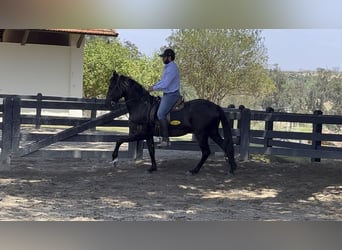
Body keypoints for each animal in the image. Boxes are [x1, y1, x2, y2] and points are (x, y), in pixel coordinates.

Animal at [105, 71, 236, 175]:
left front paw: (114, 159)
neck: (142, 106)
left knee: (206, 152)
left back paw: (194, 170)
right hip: (212, 132)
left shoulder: (139, 134)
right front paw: (152, 168)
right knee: (225, 146)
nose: (108, 102)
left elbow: (119, 140)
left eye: (111, 87)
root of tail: (215, 107)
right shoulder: (148, 135)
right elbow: (151, 150)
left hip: (201, 134)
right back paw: (232, 168)